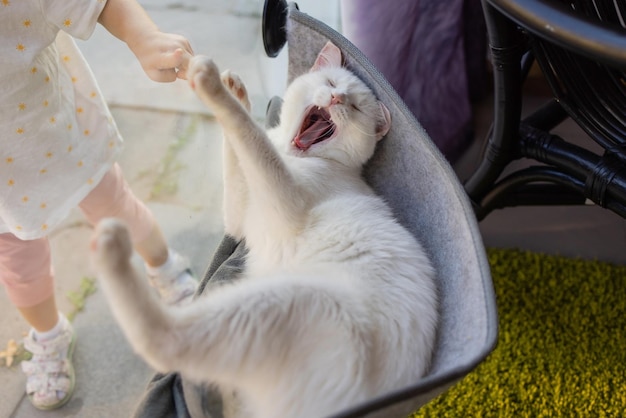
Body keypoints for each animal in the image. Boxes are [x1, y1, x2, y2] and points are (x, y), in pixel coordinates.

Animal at [90, 40, 436, 416]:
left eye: (355, 107)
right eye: (331, 83)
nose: (337, 99)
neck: (292, 151)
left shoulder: (282, 197)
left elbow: (250, 139)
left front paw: (212, 84)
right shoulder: (239, 218)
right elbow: (236, 153)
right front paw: (235, 91)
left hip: (289, 304)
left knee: (165, 341)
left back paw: (110, 247)